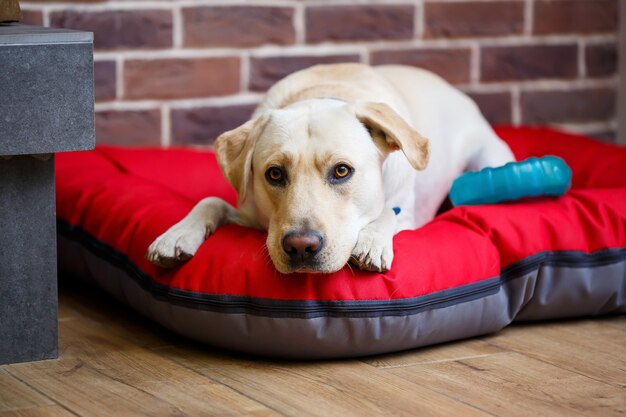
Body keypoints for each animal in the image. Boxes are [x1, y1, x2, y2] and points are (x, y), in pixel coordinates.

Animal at [146, 64, 512, 272]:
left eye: (341, 171)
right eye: (274, 174)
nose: (301, 246)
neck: (324, 93)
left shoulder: (408, 217)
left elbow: (388, 212)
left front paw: (373, 241)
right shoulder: (251, 213)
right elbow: (211, 201)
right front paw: (176, 234)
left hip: (490, 159)